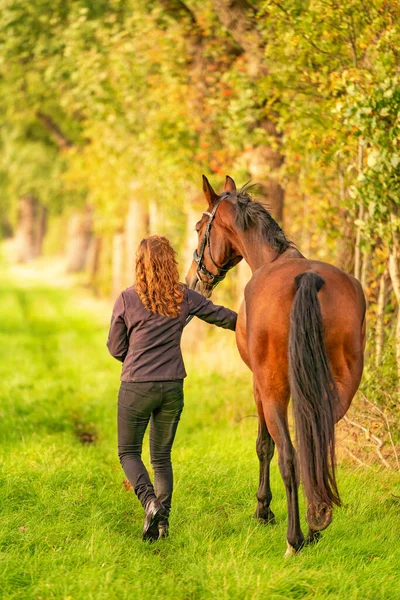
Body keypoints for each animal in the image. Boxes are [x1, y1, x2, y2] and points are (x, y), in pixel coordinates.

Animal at [186, 175, 368, 556]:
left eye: (198, 228)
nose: (195, 279)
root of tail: (309, 279)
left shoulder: (257, 384)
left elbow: (264, 445)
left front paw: (263, 509)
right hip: (338, 389)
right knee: (314, 450)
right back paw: (316, 524)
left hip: (272, 390)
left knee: (288, 455)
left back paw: (294, 538)